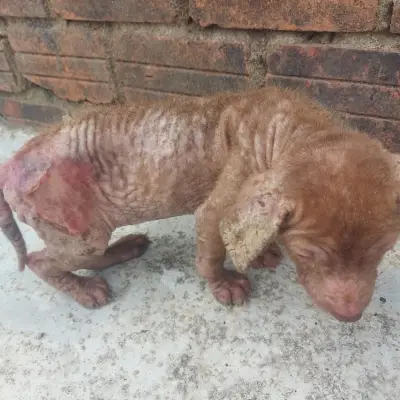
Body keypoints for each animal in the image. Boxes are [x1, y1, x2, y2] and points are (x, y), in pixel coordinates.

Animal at [1, 86, 400, 322]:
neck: (299, 126)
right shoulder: (223, 197)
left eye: (382, 252)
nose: (350, 315)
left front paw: (259, 251)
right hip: (74, 226)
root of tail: (12, 164)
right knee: (42, 261)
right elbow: (212, 247)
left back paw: (125, 249)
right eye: (306, 255)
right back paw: (84, 289)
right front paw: (225, 284)